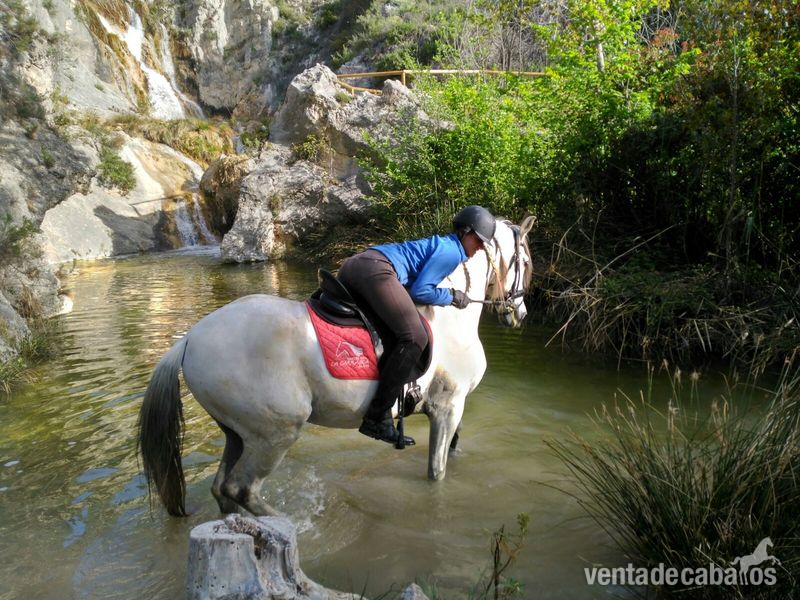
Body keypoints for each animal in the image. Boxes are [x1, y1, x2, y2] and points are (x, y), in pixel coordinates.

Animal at [138, 217, 535, 517]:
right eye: (528, 263)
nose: (520, 313)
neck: (450, 318)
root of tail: (190, 339)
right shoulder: (447, 407)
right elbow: (437, 472)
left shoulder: (454, 407)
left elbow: (453, 449)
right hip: (274, 433)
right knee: (240, 489)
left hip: (237, 432)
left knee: (223, 489)